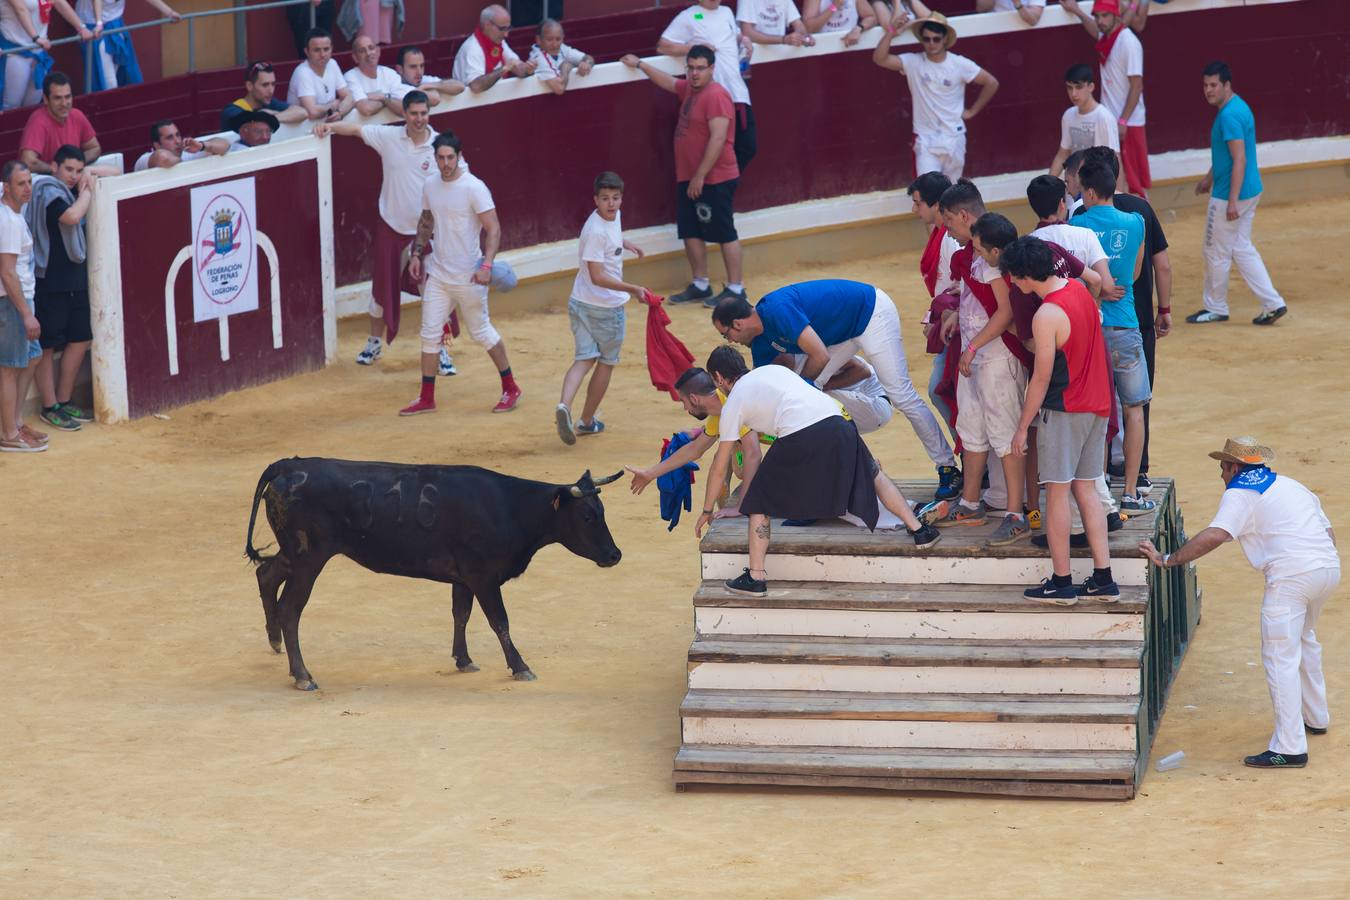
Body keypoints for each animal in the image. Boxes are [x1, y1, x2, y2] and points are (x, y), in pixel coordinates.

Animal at [244, 458, 621, 690]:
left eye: (602, 510)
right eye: (587, 516)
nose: (615, 555)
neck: (511, 507)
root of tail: (289, 465)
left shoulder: (464, 578)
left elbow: (461, 613)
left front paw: (464, 660)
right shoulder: (483, 576)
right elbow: (499, 621)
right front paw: (520, 667)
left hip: (295, 555)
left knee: (266, 573)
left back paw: (275, 642)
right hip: (308, 559)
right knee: (290, 608)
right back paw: (303, 675)